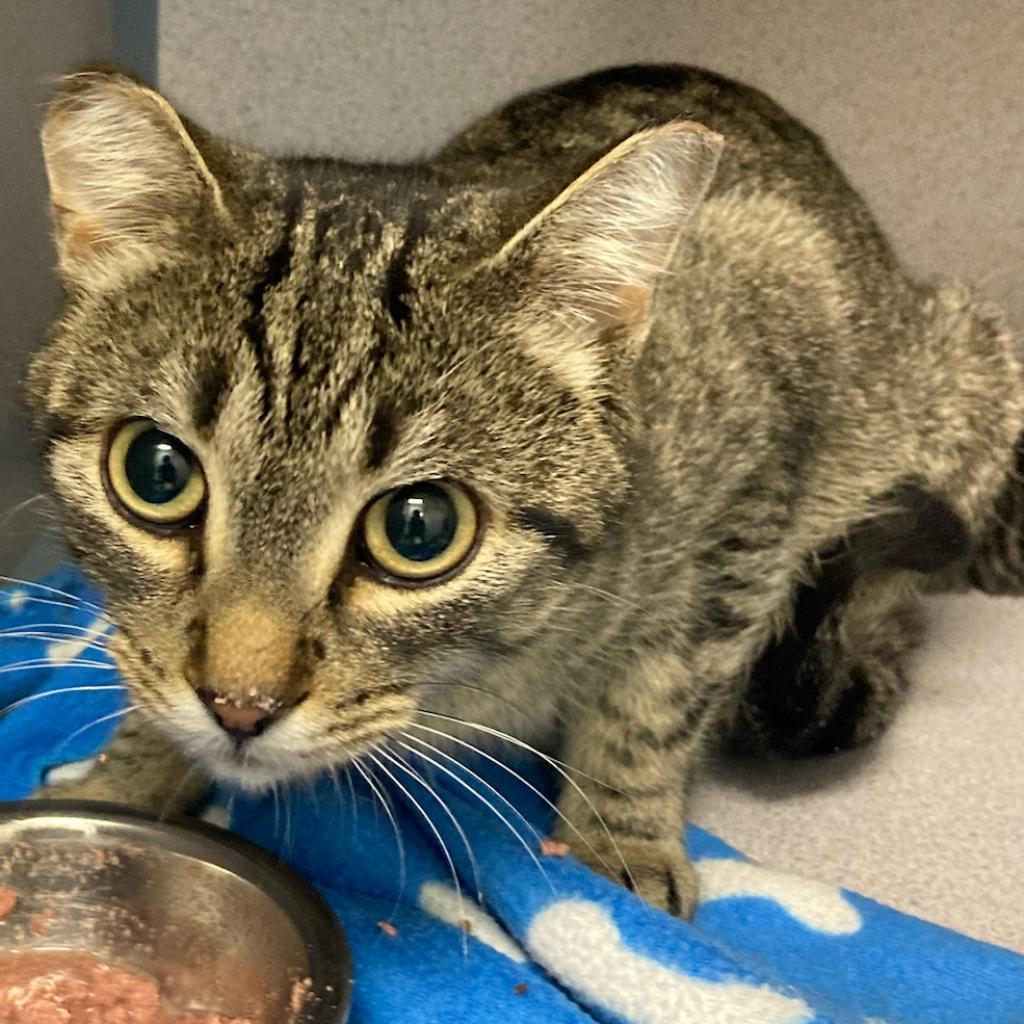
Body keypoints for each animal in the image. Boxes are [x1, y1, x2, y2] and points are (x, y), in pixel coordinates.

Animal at [29, 66, 1024, 913]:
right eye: (157, 473)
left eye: (420, 528)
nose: (239, 706)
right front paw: (127, 779)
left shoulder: (751, 484)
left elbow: (654, 701)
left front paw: (617, 845)